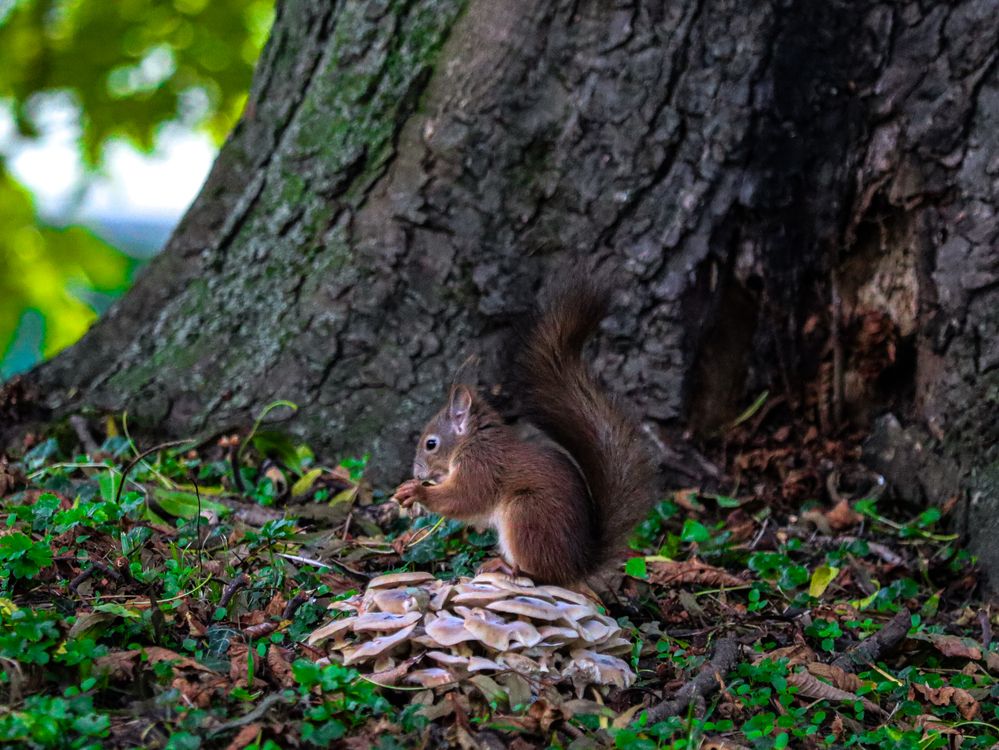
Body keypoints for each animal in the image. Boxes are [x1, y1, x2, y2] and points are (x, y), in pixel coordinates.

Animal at [393, 279, 655, 586]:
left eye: (431, 444)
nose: (417, 473)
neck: (473, 442)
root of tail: (579, 566)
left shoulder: (482, 467)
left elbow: (464, 498)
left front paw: (417, 492)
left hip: (526, 512)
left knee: (541, 573)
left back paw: (506, 567)